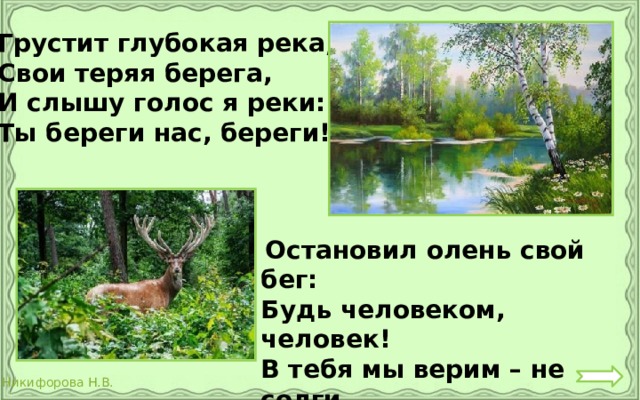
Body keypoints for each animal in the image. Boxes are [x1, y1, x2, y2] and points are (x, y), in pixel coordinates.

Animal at [86, 215, 214, 312]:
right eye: (169, 262)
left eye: (182, 261)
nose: (177, 270)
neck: (166, 292)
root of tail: (88, 296)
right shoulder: (155, 309)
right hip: (103, 311)